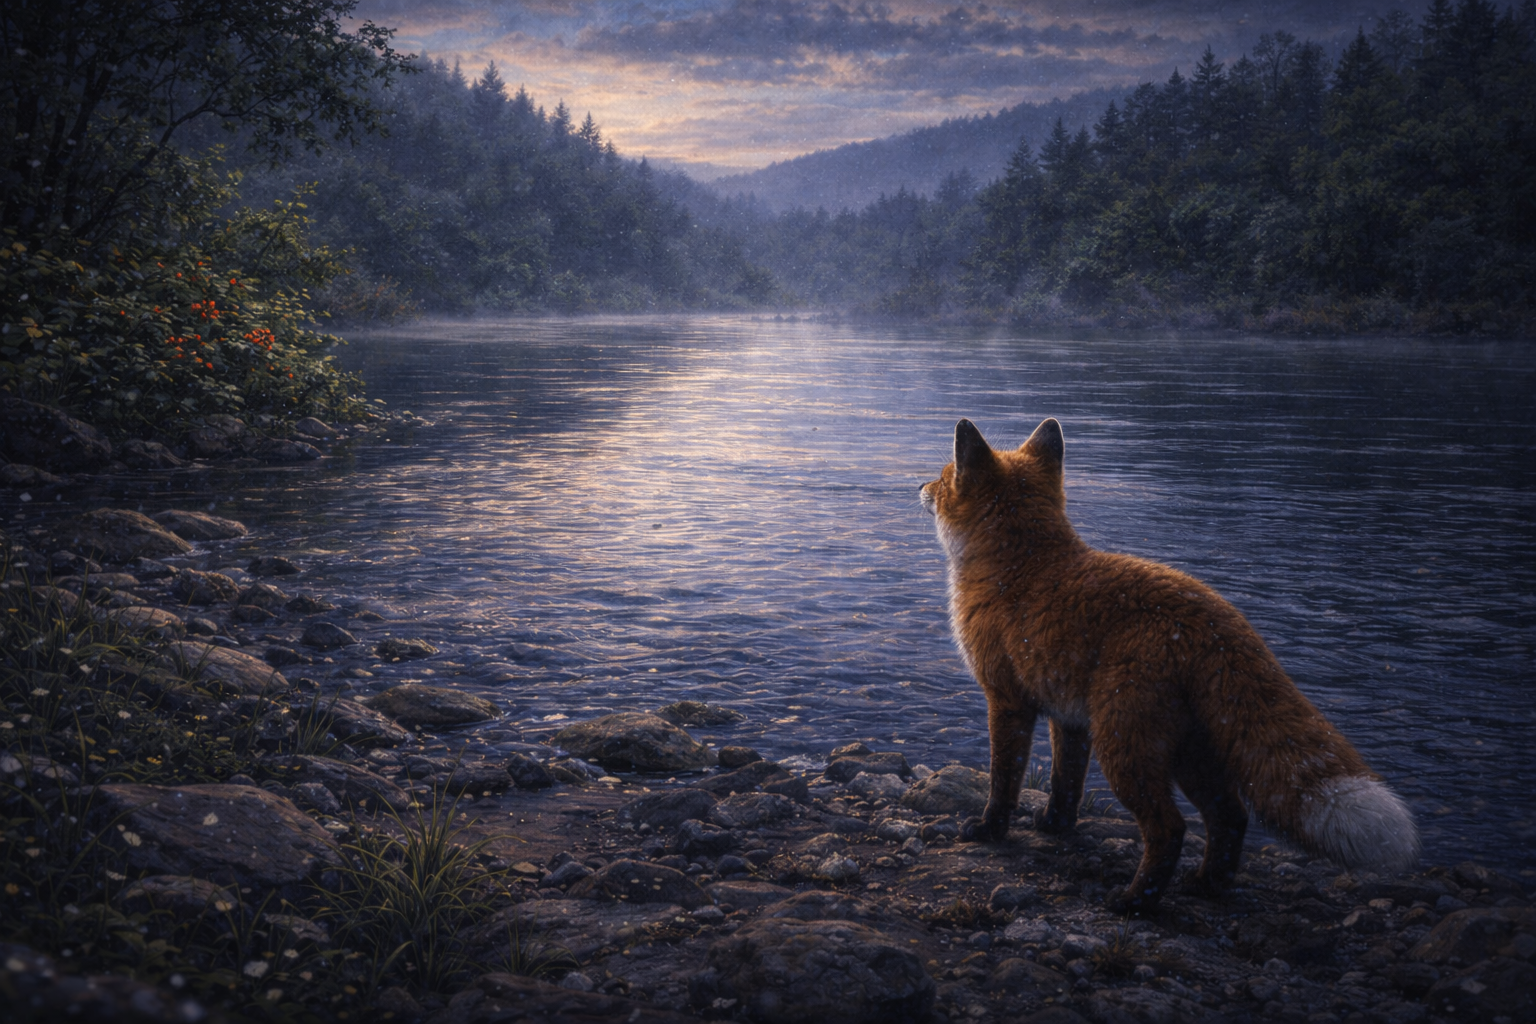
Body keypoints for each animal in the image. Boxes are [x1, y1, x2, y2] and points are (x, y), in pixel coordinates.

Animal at [920, 417, 1419, 912]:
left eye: (944, 478)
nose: (919, 486)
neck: (1018, 566)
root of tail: (1218, 625)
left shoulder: (1008, 701)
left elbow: (1003, 781)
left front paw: (989, 830)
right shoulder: (1069, 718)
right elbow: (1066, 784)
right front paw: (1054, 826)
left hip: (1125, 748)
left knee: (1170, 828)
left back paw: (1135, 900)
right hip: (1187, 753)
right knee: (1231, 816)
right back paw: (1206, 885)